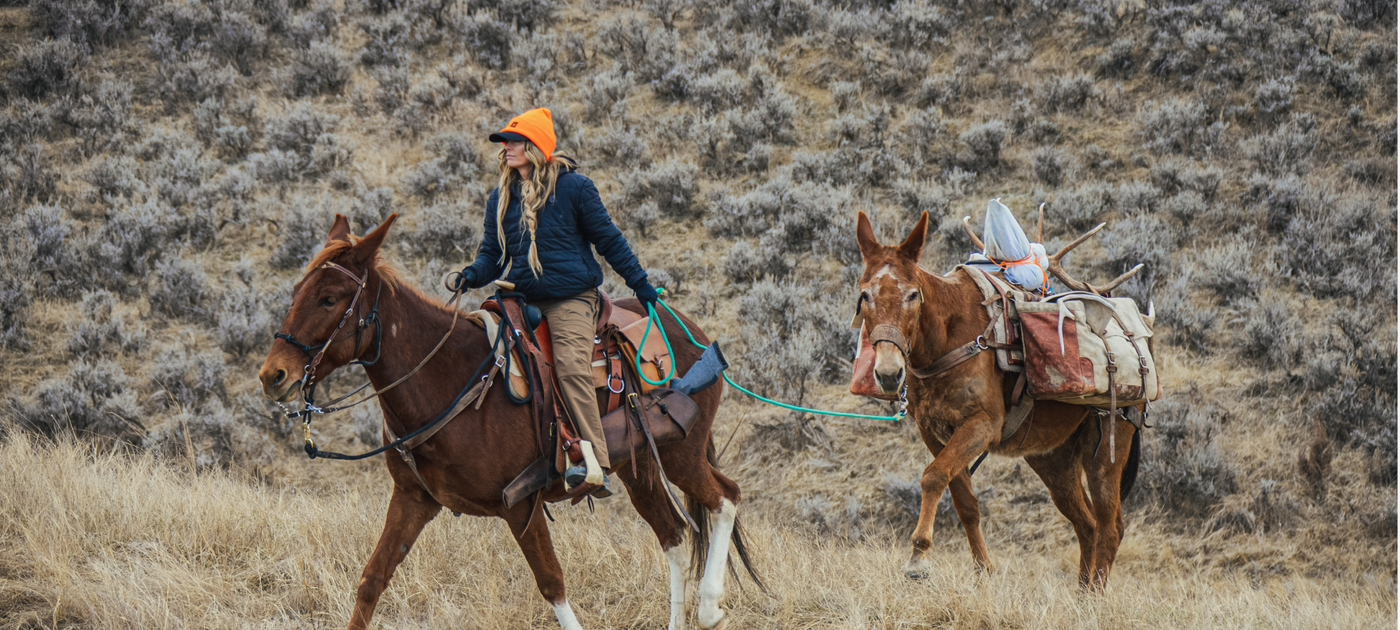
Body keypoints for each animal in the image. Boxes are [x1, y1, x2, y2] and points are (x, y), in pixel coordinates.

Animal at [260, 214, 767, 627]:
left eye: (329, 299)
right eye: (296, 293)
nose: (273, 375)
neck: (451, 380)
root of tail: (691, 330)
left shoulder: (521, 505)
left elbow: (553, 586)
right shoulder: (413, 499)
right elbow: (372, 580)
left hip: (681, 453)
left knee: (725, 497)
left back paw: (711, 606)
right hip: (637, 467)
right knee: (674, 536)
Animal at [856, 211, 1142, 590]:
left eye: (913, 294)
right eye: (864, 295)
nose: (888, 373)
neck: (946, 340)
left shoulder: (983, 424)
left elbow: (933, 476)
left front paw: (918, 557)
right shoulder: (933, 431)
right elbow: (964, 500)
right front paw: (982, 571)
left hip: (1107, 447)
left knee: (1111, 527)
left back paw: (1094, 594)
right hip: (1053, 459)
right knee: (1087, 524)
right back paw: (1080, 593)